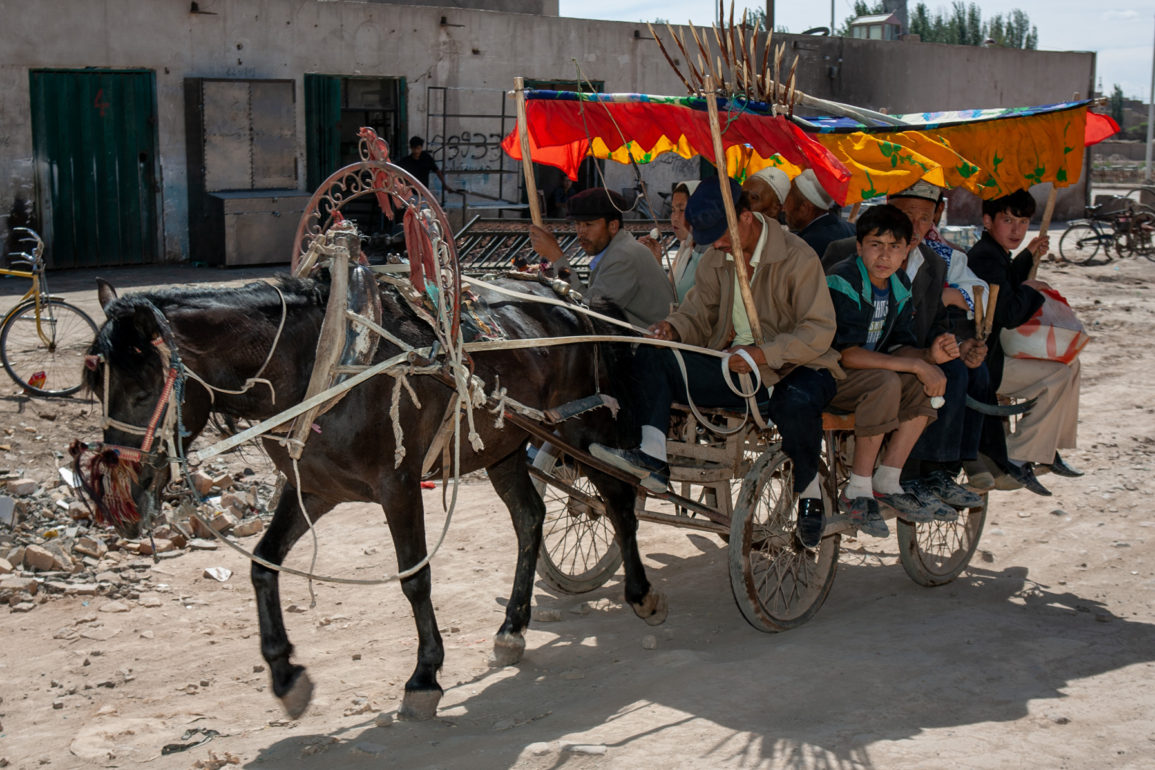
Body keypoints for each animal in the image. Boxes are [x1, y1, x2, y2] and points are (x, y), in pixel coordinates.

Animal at [83, 277, 669, 724]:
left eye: (143, 391)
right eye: (98, 391)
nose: (122, 499)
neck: (324, 362)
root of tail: (572, 296)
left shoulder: (399, 487)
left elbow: (415, 578)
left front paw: (425, 677)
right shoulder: (314, 489)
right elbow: (263, 565)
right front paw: (285, 674)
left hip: (582, 429)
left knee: (619, 499)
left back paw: (641, 594)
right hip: (503, 445)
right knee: (531, 519)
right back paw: (512, 629)